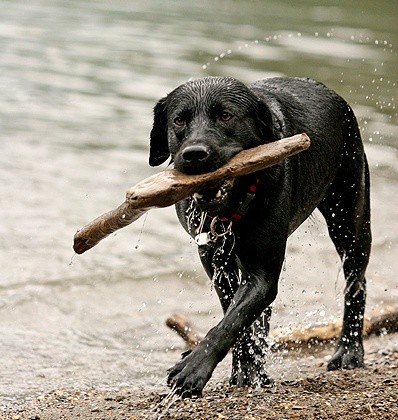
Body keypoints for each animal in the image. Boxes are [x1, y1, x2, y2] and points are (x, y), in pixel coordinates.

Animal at [148, 76, 372, 398]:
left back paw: (349, 351)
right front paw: (246, 371)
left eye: (226, 116)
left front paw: (193, 369)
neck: (231, 208)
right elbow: (238, 318)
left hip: (349, 220)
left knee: (356, 283)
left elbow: (231, 322)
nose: (194, 154)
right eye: (179, 120)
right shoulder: (218, 265)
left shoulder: (263, 274)